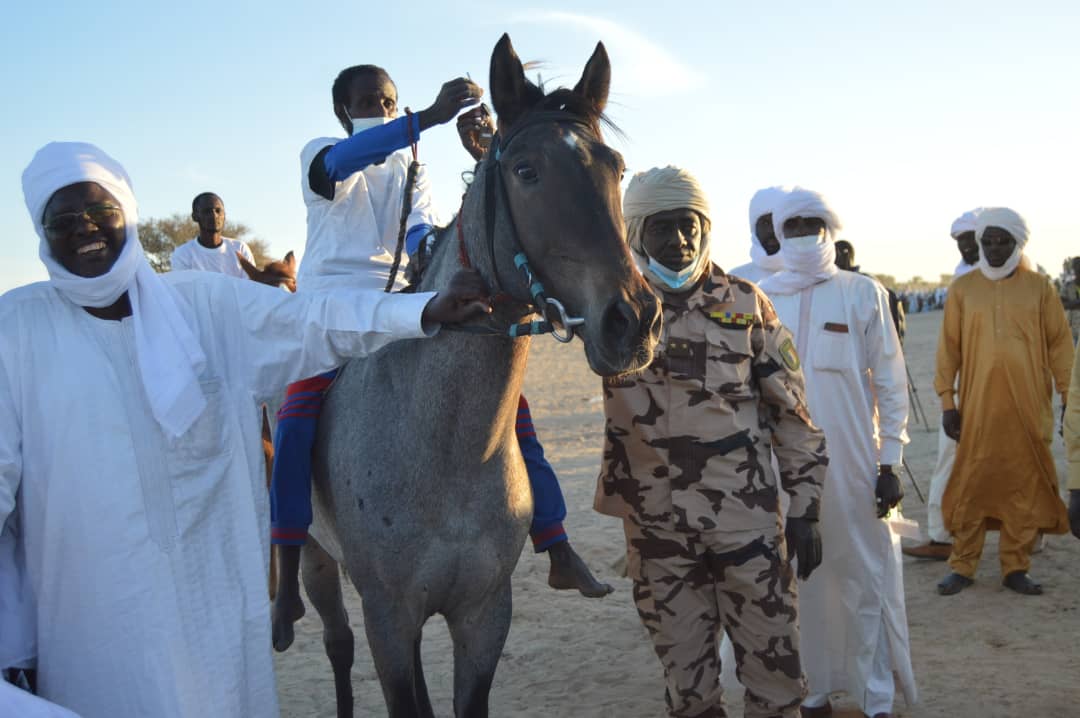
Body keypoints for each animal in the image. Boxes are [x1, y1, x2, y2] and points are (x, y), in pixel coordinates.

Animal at [300, 35, 660, 716]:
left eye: (617, 168)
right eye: (526, 171)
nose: (634, 321)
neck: (442, 452)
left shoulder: (484, 614)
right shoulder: (389, 619)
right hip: (315, 560)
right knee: (335, 643)